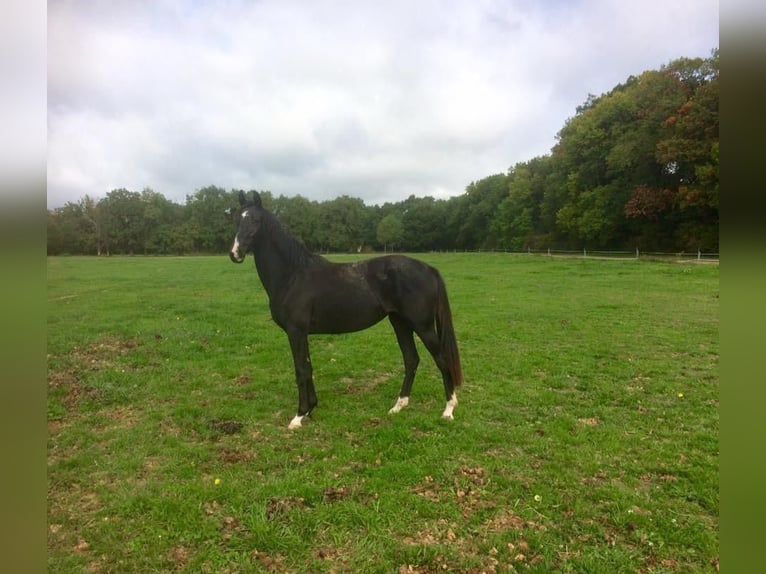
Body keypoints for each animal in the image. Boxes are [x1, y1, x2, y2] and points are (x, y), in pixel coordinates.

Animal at [228, 191, 464, 430]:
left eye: (255, 220)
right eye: (237, 219)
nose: (235, 253)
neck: (292, 275)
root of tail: (429, 269)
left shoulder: (295, 331)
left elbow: (301, 370)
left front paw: (299, 416)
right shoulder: (302, 333)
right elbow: (308, 368)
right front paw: (310, 409)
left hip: (422, 326)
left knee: (442, 359)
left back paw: (448, 409)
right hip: (400, 322)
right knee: (411, 359)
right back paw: (398, 406)